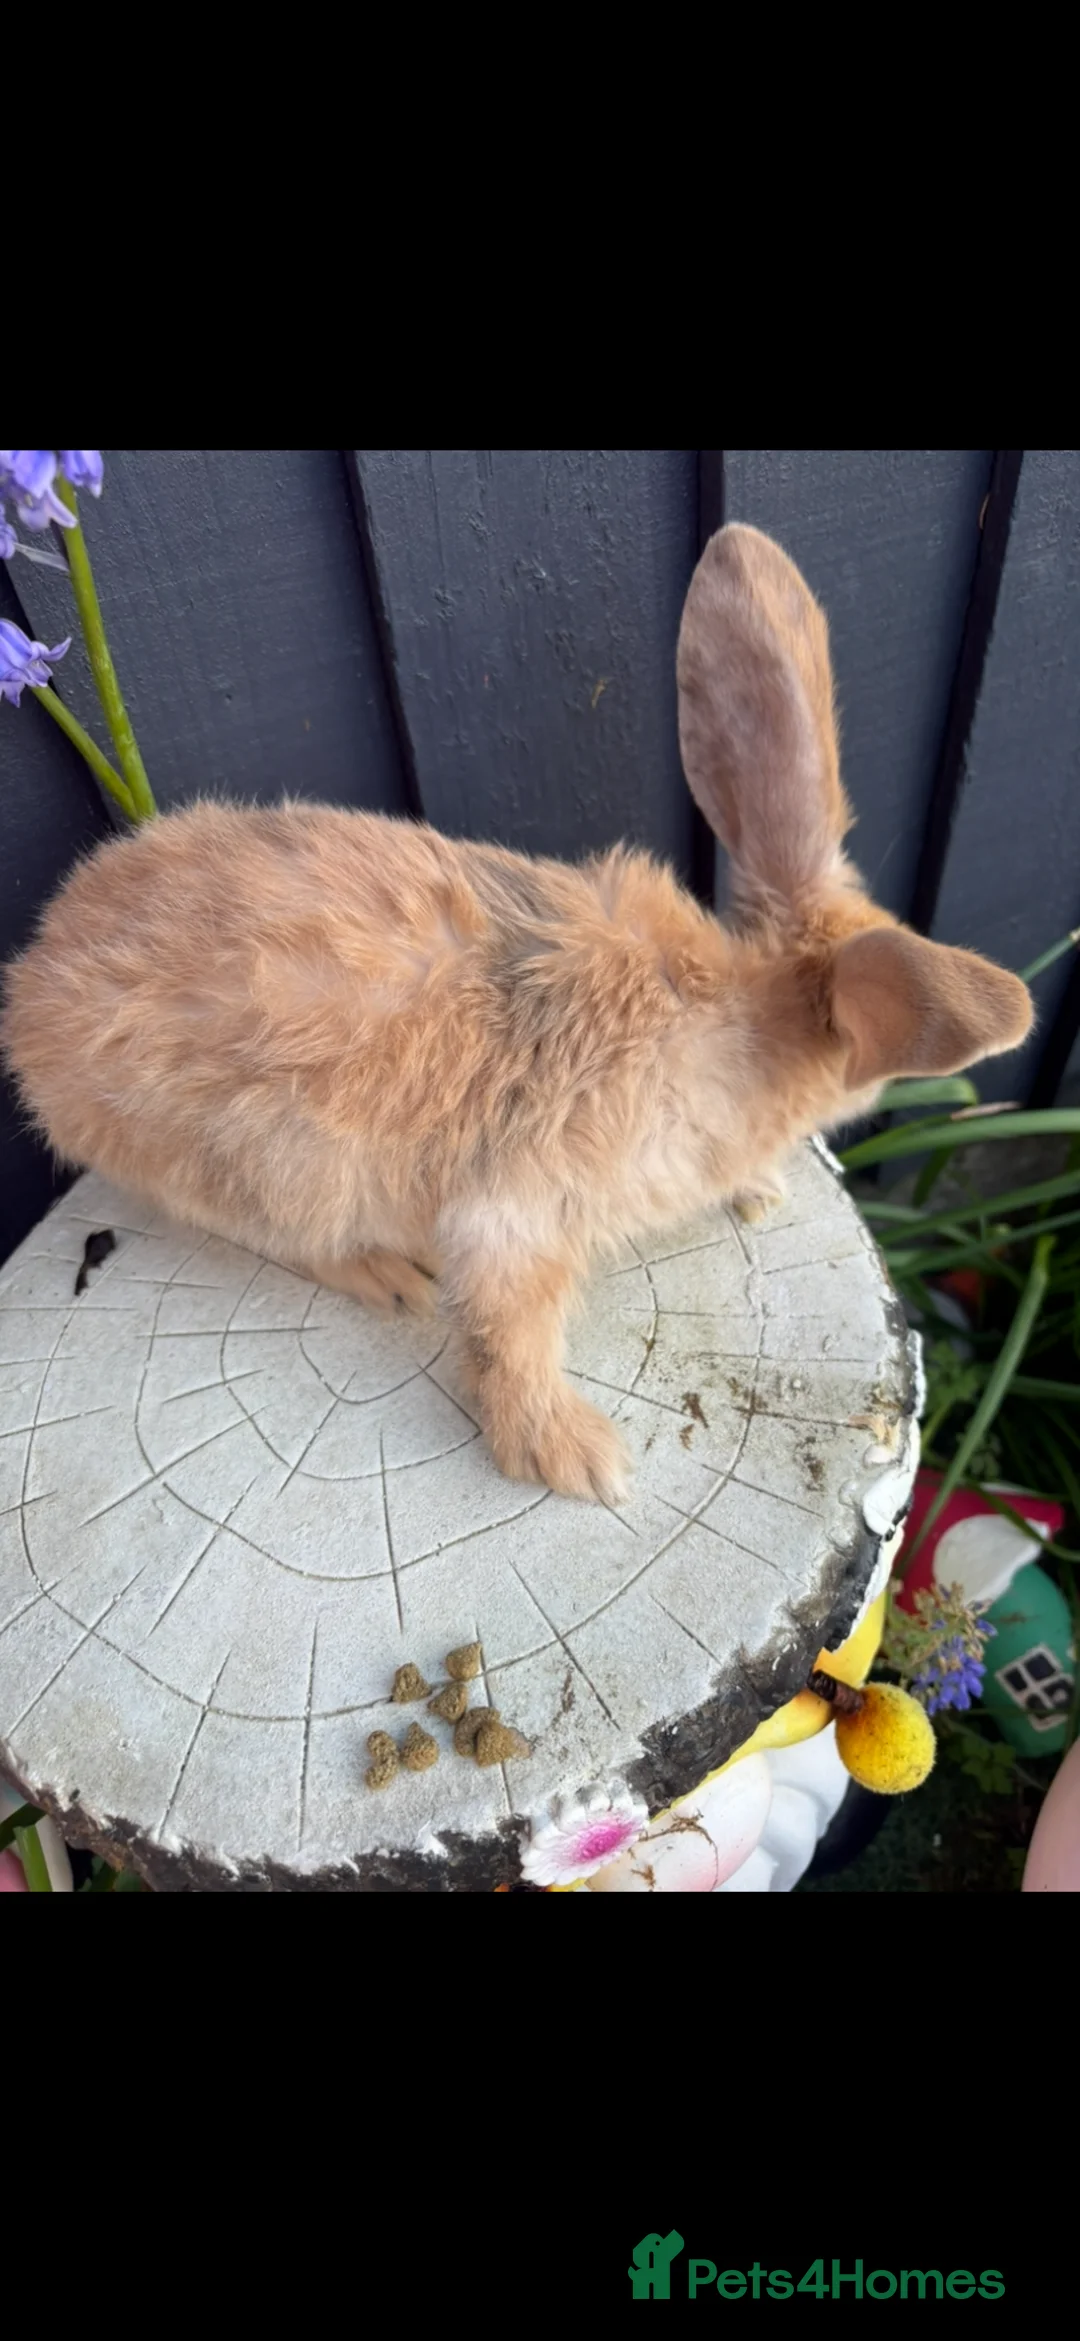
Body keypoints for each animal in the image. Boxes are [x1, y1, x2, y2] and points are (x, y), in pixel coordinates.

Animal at [1, 524, 1033, 1505]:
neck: (733, 1022)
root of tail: (29, 993)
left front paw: (759, 1192)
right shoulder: (523, 1209)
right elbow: (509, 1337)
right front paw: (578, 1460)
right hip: (260, 1167)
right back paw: (388, 1279)